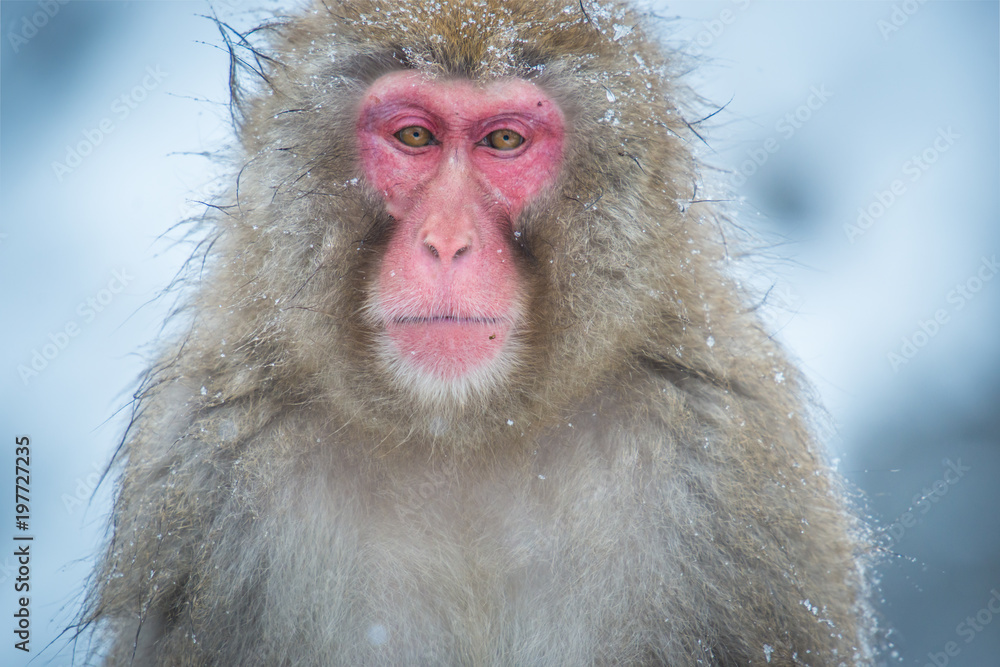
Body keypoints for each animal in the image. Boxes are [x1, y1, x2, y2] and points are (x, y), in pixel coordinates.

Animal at [82, 0, 876, 664]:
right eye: (414, 136)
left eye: (503, 140)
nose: (446, 241)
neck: (464, 432)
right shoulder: (203, 475)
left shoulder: (733, 472)